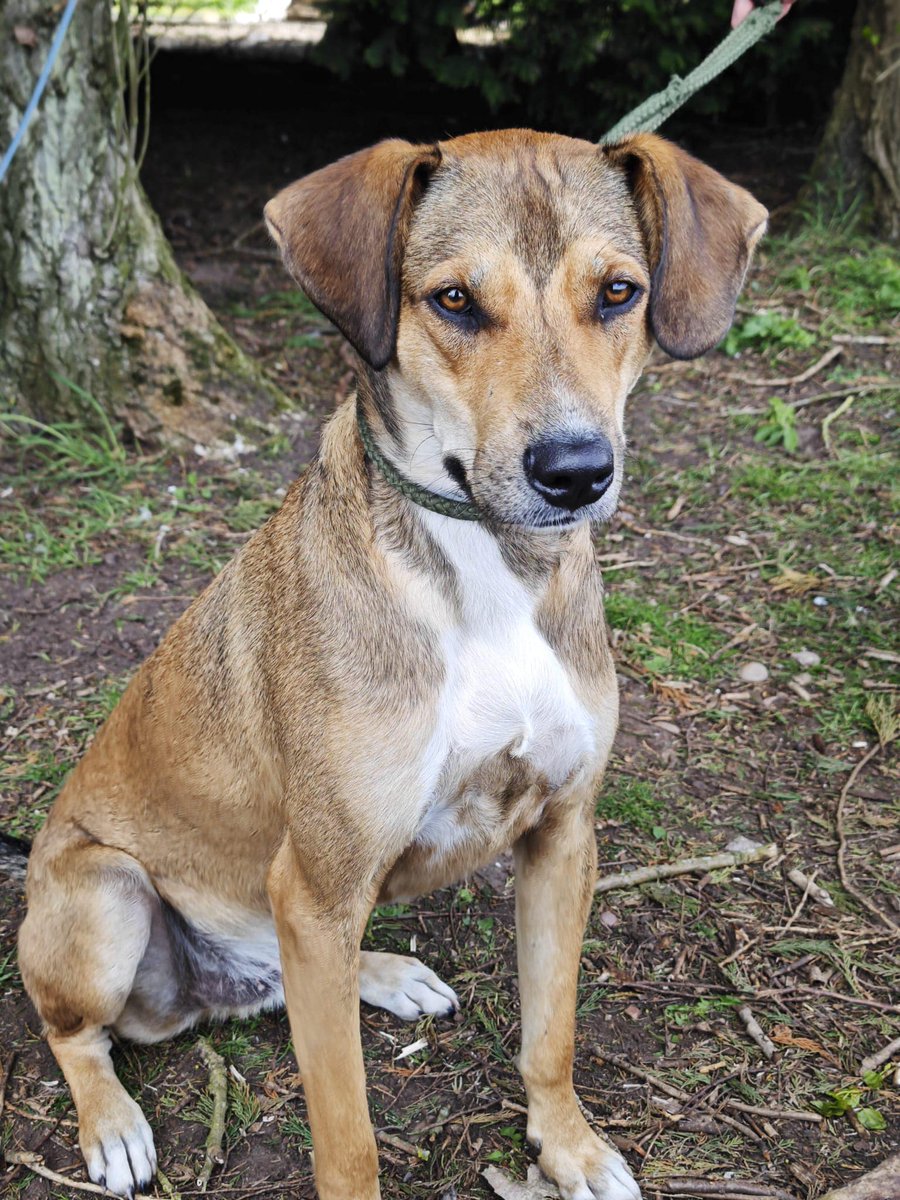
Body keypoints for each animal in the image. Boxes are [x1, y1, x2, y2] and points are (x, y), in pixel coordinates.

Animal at [17, 131, 763, 1200]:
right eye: (453, 300)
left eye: (619, 292)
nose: (576, 472)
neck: (486, 569)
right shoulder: (320, 883)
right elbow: (347, 1133)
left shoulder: (562, 834)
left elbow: (551, 1035)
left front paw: (569, 1149)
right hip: (111, 892)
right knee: (75, 1033)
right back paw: (112, 1124)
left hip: (287, 916)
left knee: (283, 978)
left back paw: (384, 973)